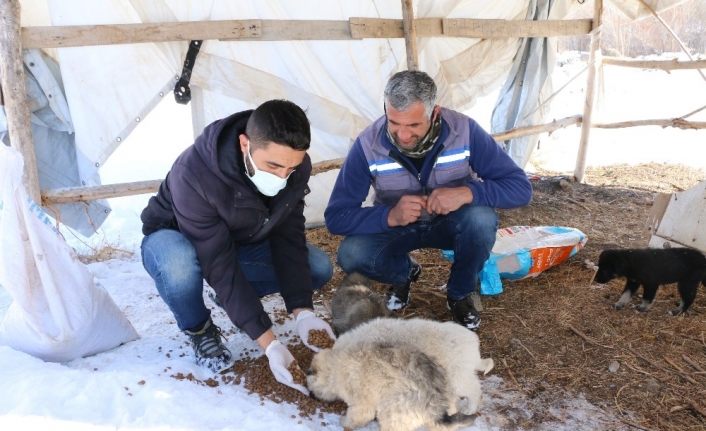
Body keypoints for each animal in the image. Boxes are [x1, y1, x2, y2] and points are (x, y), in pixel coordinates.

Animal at [306, 340, 472, 431]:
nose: (310, 395)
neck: (335, 368)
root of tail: (434, 402)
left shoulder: (362, 404)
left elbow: (355, 417)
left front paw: (344, 422)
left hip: (392, 413)